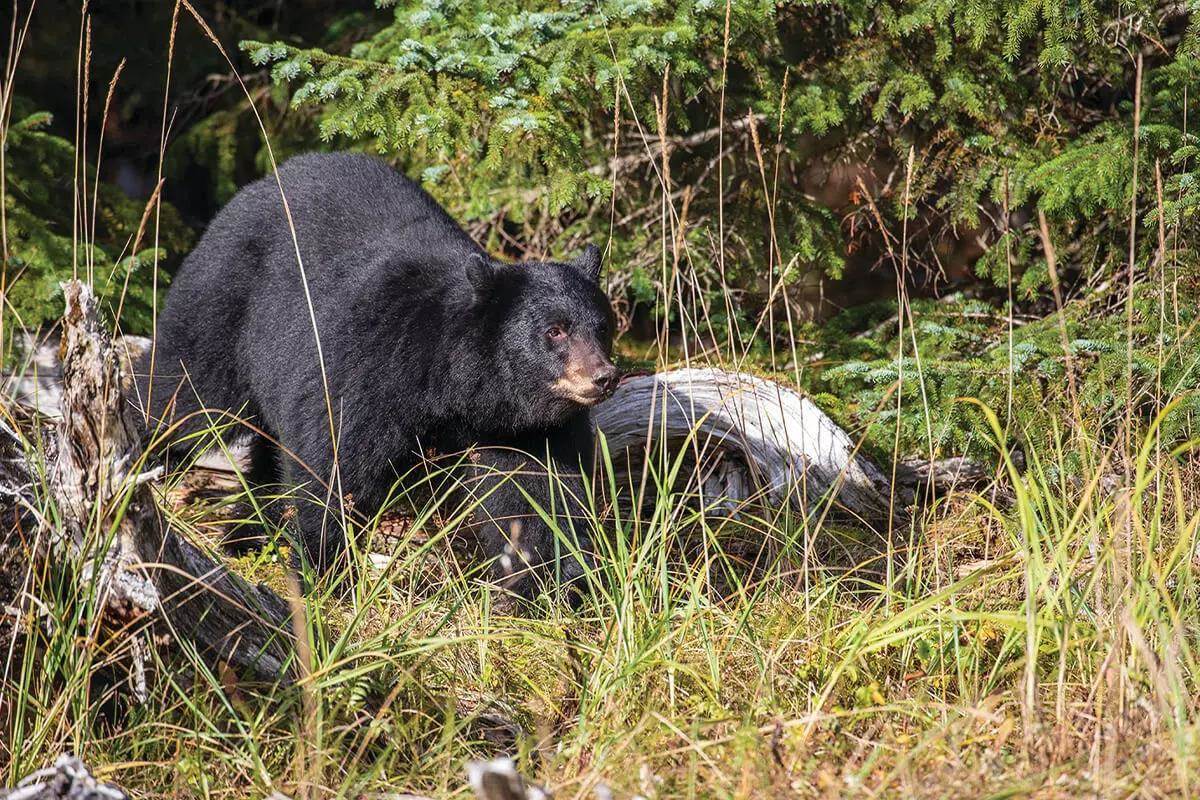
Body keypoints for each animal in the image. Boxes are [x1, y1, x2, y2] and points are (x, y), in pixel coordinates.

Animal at [136, 152, 619, 596]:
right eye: (555, 330)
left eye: (602, 327)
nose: (604, 376)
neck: (456, 389)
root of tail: (259, 183)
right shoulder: (371, 370)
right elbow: (335, 469)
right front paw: (325, 576)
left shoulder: (529, 432)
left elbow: (540, 500)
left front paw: (549, 588)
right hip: (224, 303)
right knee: (183, 392)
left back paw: (246, 534)